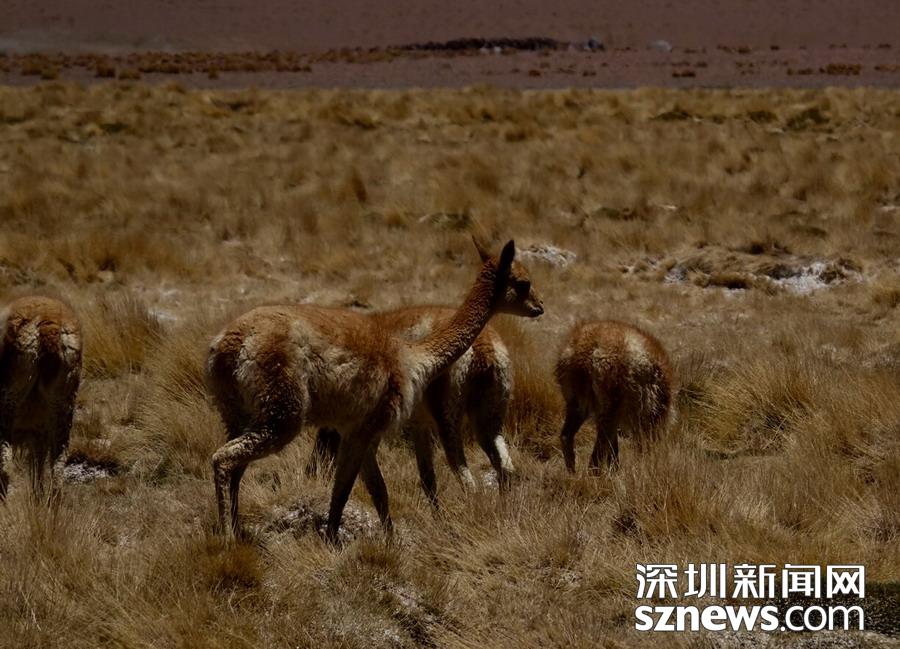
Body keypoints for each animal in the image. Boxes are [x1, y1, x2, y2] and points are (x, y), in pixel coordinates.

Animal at [306, 307, 516, 507]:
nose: (311, 474)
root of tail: (484, 346)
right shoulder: (418, 425)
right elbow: (427, 478)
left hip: (449, 423)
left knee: (465, 474)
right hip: (488, 420)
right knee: (505, 467)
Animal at [555, 320, 672, 473]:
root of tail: (588, 350)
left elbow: (613, 449)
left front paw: (615, 471)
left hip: (576, 402)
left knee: (566, 436)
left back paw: (572, 472)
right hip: (609, 405)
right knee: (597, 453)